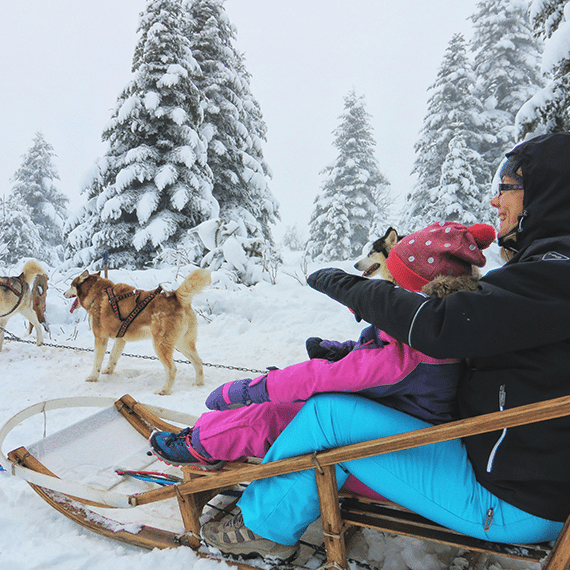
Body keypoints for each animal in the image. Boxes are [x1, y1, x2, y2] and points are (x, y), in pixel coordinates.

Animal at [64, 268, 211, 392]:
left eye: (71, 285)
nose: (63, 293)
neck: (98, 294)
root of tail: (176, 297)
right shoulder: (120, 338)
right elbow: (113, 357)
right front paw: (108, 370)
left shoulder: (100, 338)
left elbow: (97, 362)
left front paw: (93, 377)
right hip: (183, 343)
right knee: (198, 362)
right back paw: (198, 384)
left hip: (160, 345)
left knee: (172, 369)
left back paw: (164, 390)